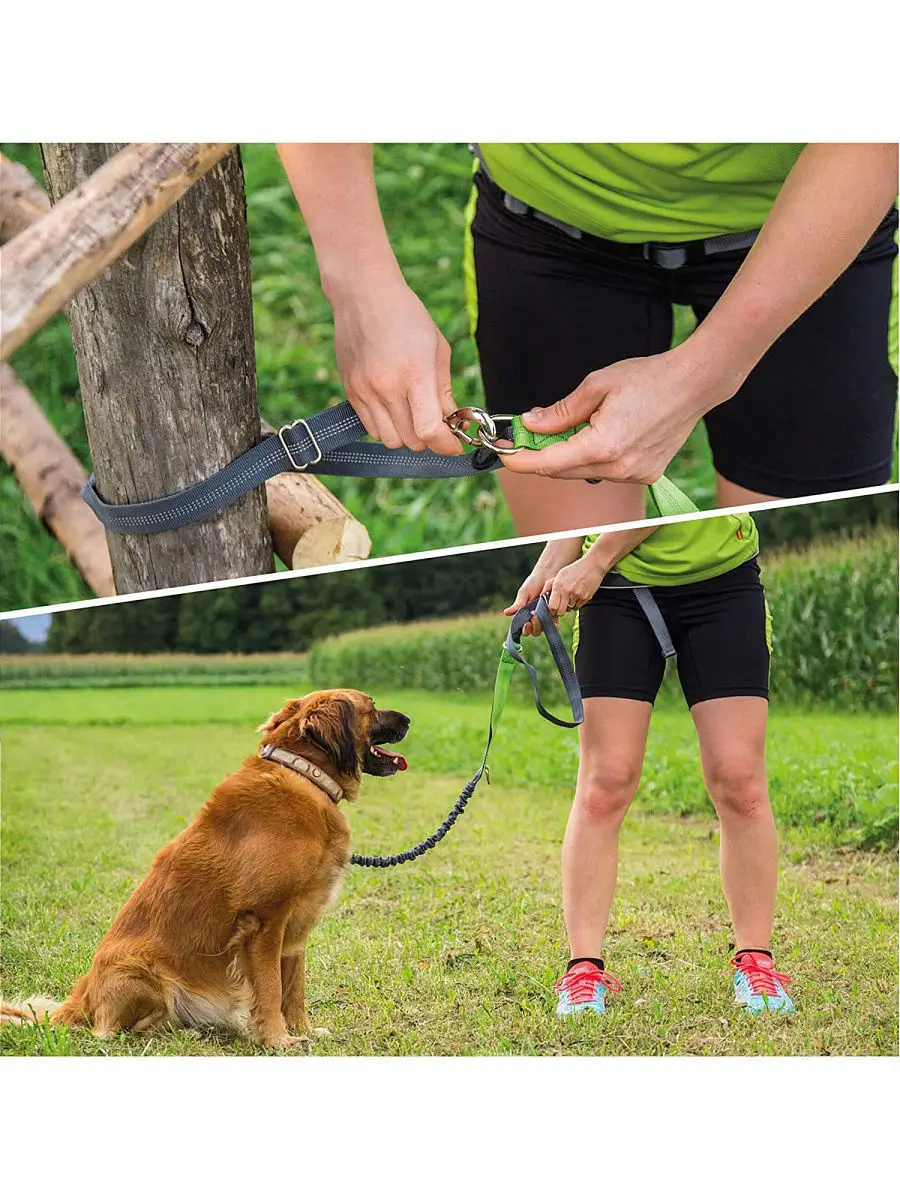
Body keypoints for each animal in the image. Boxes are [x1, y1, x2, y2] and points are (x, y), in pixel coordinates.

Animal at [1, 691, 410, 1046]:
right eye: (372, 706)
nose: (408, 718)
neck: (304, 775)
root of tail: (83, 994)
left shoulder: (295, 928)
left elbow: (293, 989)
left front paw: (303, 1030)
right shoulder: (265, 922)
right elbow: (271, 989)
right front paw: (278, 1040)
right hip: (142, 975)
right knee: (115, 1030)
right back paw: (180, 1030)